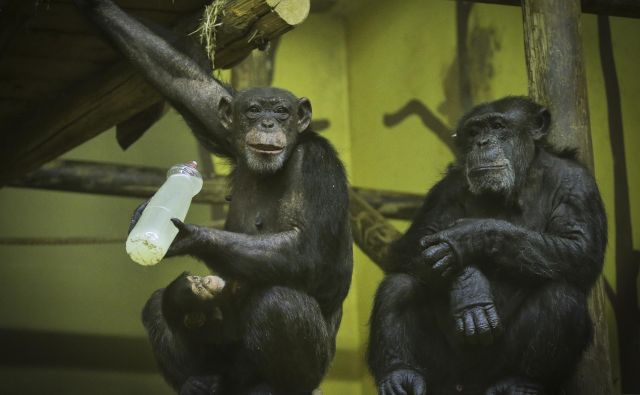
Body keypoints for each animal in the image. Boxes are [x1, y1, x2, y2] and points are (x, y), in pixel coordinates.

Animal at [75, 0, 356, 395]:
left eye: (281, 112)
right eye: (253, 110)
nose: (267, 123)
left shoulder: (319, 165)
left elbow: (307, 248)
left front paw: (185, 235)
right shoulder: (226, 131)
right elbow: (184, 82)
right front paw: (94, 7)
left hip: (311, 372)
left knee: (280, 302)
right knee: (157, 304)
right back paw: (196, 381)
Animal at [368, 96, 608, 395]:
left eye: (497, 126)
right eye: (474, 132)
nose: (482, 143)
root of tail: (469, 384)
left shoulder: (577, 183)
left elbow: (580, 248)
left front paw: (467, 236)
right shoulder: (446, 190)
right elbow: (412, 245)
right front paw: (469, 285)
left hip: (497, 366)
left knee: (561, 295)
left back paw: (519, 382)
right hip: (444, 374)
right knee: (399, 284)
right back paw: (399, 375)